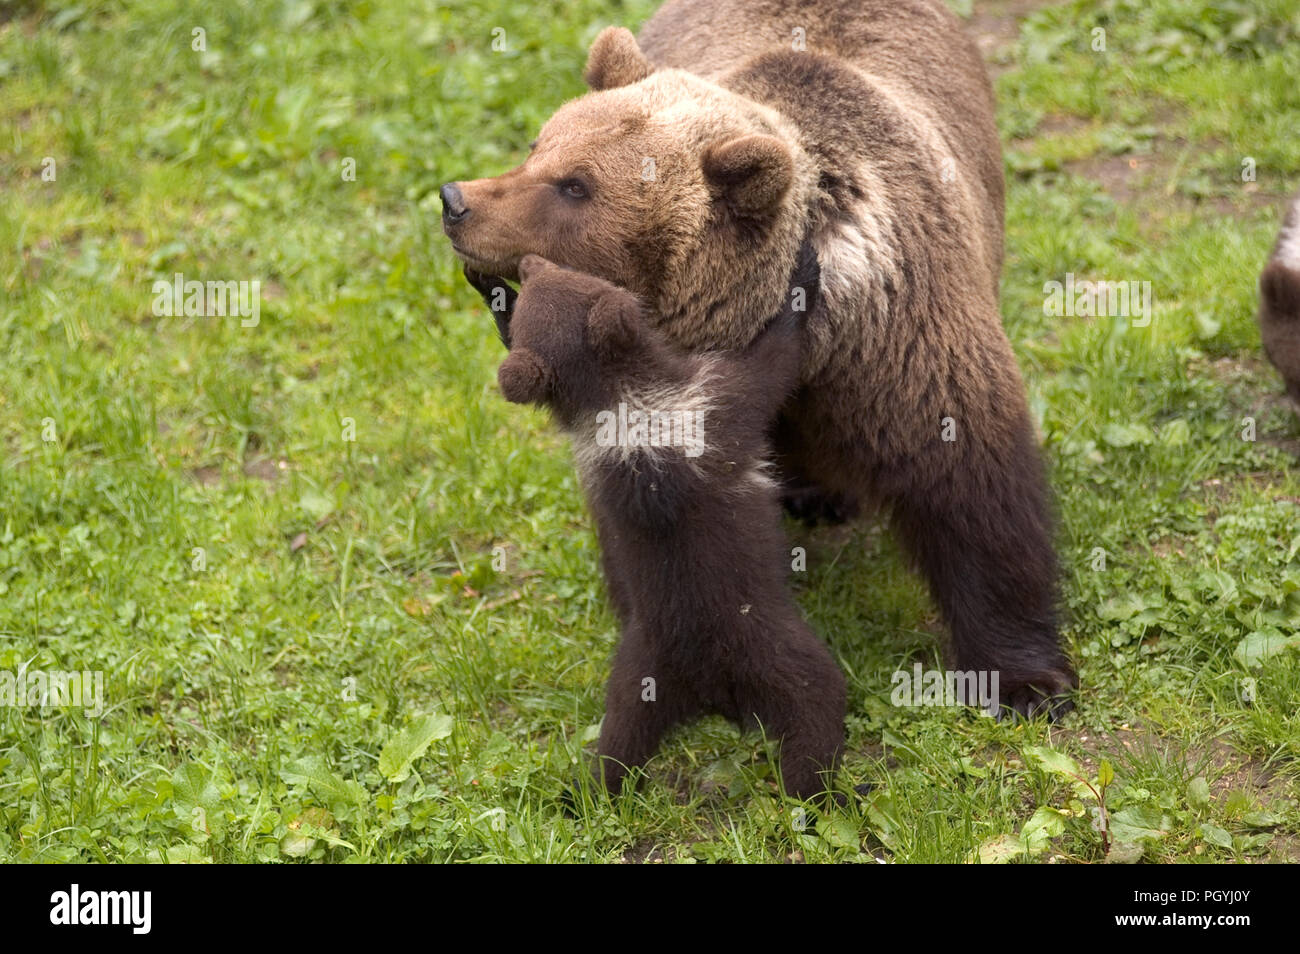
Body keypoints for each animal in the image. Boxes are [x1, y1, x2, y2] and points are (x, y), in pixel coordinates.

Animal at [442, 0, 1075, 717]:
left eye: (575, 185)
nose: (456, 201)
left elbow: (973, 486)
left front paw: (1027, 680)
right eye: (538, 146)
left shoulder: (902, 340)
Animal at [495, 250, 847, 801]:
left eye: (553, 278)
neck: (627, 408)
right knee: (817, 706)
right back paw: (820, 794)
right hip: (772, 646)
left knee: (618, 737)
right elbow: (773, 365)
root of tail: (707, 687)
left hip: (634, 673)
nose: (530, 261)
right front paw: (803, 275)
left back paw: (582, 792)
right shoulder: (716, 404)